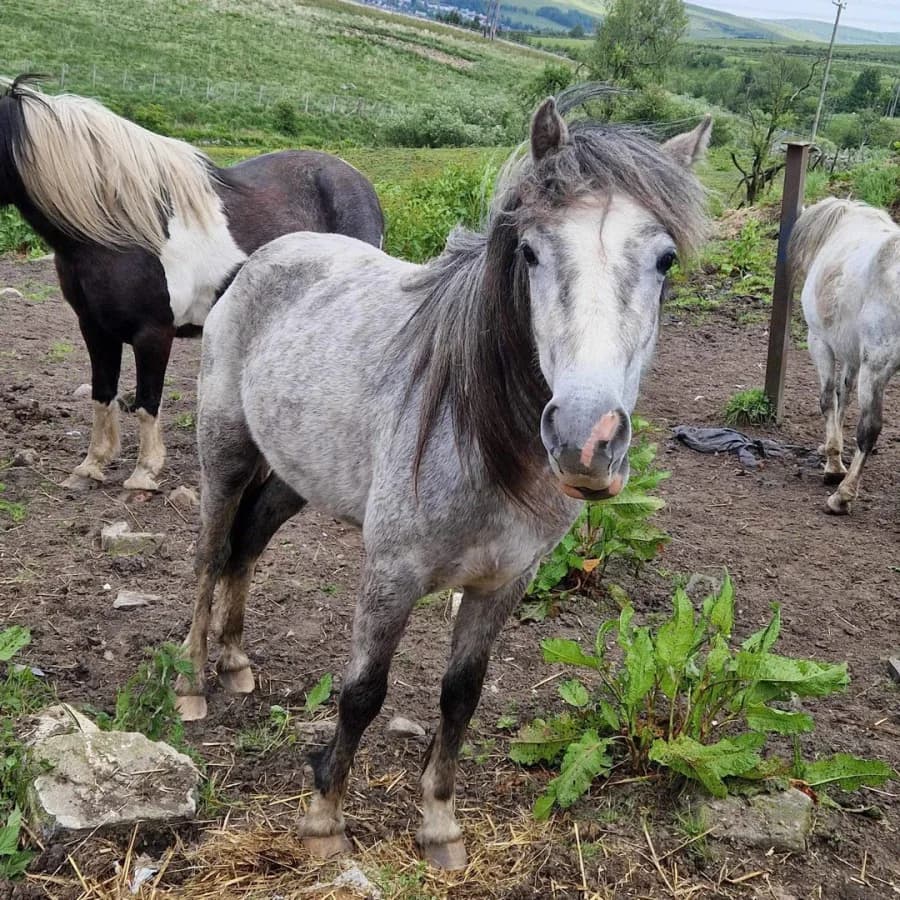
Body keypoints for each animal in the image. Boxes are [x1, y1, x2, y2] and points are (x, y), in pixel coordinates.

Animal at [0, 76, 384, 491]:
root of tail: (357, 179)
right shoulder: (95, 328)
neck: (120, 231)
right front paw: (91, 466)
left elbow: (147, 400)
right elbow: (103, 394)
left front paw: (145, 473)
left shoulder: (153, 333)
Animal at [175, 97, 711, 868]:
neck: (479, 439)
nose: (586, 440)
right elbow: (363, 692)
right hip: (224, 453)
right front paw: (324, 820)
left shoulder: (503, 583)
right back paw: (193, 682)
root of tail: (257, 261)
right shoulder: (391, 573)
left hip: (295, 475)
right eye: (530, 252)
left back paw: (237, 661)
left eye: (665, 260)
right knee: (211, 553)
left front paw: (439, 824)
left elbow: (461, 695)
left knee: (246, 546)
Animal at [789, 197, 900, 515]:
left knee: (869, 429)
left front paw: (833, 465)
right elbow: (843, 395)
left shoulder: (820, 343)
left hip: (875, 369)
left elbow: (828, 399)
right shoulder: (852, 355)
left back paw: (842, 496)